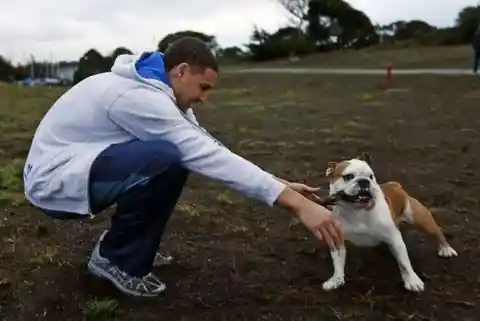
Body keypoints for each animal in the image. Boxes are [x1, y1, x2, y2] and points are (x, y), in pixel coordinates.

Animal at [322, 151, 458, 292]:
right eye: (348, 176)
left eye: (371, 176)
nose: (364, 181)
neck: (356, 211)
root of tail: (394, 185)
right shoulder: (336, 240)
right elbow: (337, 261)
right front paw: (336, 279)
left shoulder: (395, 239)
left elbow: (404, 263)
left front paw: (412, 281)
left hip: (419, 218)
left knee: (437, 231)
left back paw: (446, 248)